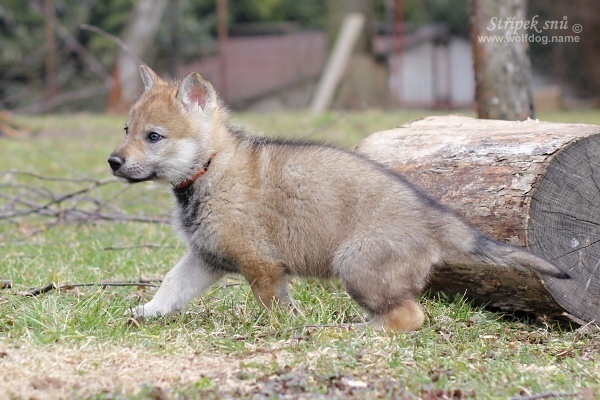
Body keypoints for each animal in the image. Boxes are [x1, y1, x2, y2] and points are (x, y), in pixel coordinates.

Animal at [108, 65, 568, 332]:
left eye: (154, 136)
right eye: (126, 129)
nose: (113, 162)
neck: (210, 166)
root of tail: (432, 215)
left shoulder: (261, 265)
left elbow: (274, 306)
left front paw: (287, 331)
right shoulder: (205, 259)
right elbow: (171, 287)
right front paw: (146, 312)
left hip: (356, 265)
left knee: (410, 317)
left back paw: (360, 331)